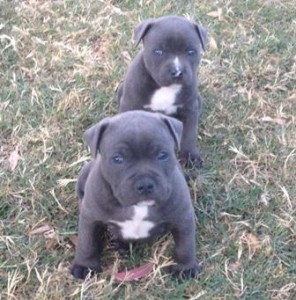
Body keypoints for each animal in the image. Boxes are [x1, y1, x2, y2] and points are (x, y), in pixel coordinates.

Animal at [71, 111, 201, 280]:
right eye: (118, 159)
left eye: (162, 155)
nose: (145, 184)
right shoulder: (90, 217)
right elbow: (87, 242)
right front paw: (85, 266)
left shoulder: (182, 217)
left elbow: (185, 245)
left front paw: (185, 268)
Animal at [117, 15, 207, 166]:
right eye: (158, 52)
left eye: (191, 52)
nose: (177, 72)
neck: (165, 87)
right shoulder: (130, 104)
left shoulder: (190, 109)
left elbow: (189, 133)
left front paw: (190, 156)